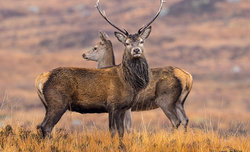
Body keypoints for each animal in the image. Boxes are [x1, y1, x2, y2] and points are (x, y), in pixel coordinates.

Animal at [35, 0, 164, 141]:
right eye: (127, 43)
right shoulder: (112, 104)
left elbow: (121, 131)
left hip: (47, 105)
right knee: (46, 127)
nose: (136, 50)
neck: (130, 83)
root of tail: (40, 79)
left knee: (41, 125)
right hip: (57, 102)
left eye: (141, 41)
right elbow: (112, 130)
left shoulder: (123, 107)